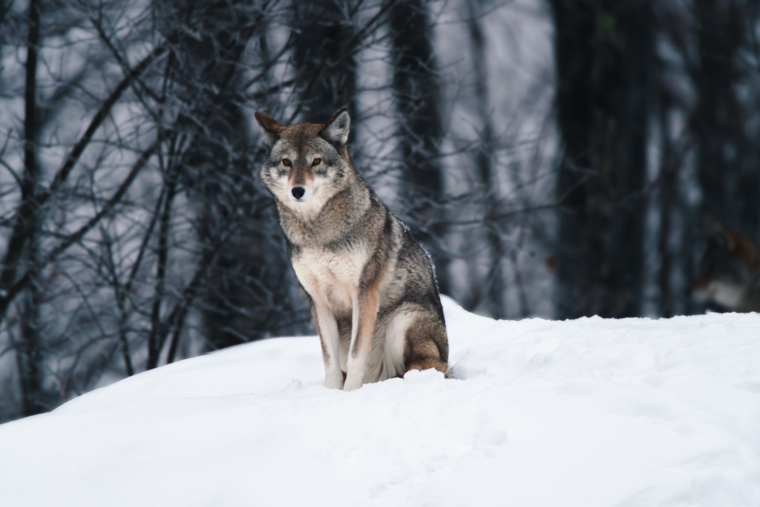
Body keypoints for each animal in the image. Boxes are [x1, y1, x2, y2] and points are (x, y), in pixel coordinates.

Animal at [252, 109, 448, 390]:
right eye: (287, 162)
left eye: (316, 162)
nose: (297, 191)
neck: (318, 233)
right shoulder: (317, 300)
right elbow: (330, 361)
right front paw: (333, 392)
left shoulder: (364, 292)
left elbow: (357, 356)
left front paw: (352, 392)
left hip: (403, 318)